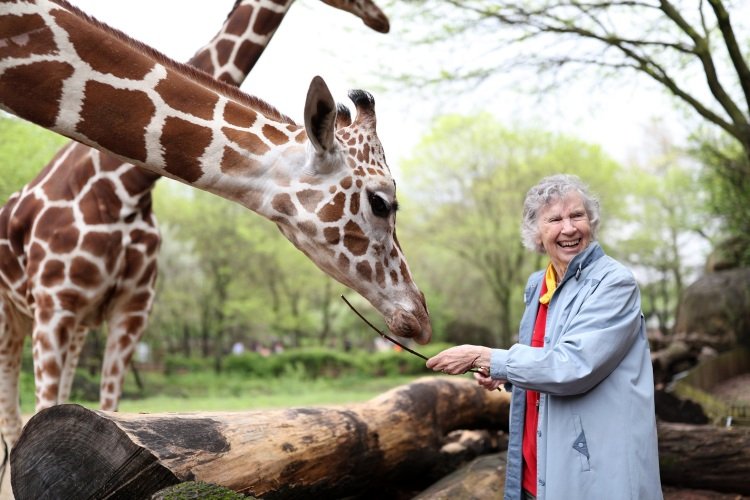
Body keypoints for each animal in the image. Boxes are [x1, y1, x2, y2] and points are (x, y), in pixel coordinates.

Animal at [0, 0, 431, 452]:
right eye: (381, 203)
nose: (420, 317)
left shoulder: (128, 312)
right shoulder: (55, 305)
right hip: (15, 315)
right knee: (12, 419)